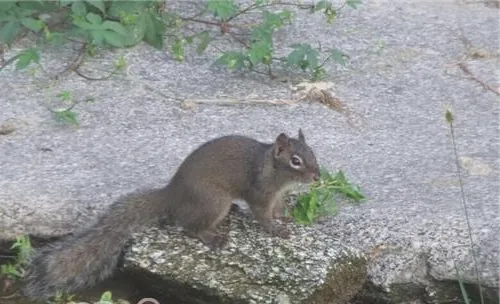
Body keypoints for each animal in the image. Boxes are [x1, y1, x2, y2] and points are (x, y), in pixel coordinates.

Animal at [21, 129, 320, 300]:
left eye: (313, 153)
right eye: (295, 161)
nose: (317, 176)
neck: (275, 173)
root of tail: (171, 194)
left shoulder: (277, 196)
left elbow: (278, 209)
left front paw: (284, 218)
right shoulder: (259, 193)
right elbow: (262, 215)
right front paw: (276, 229)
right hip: (214, 202)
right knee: (190, 226)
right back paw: (213, 237)